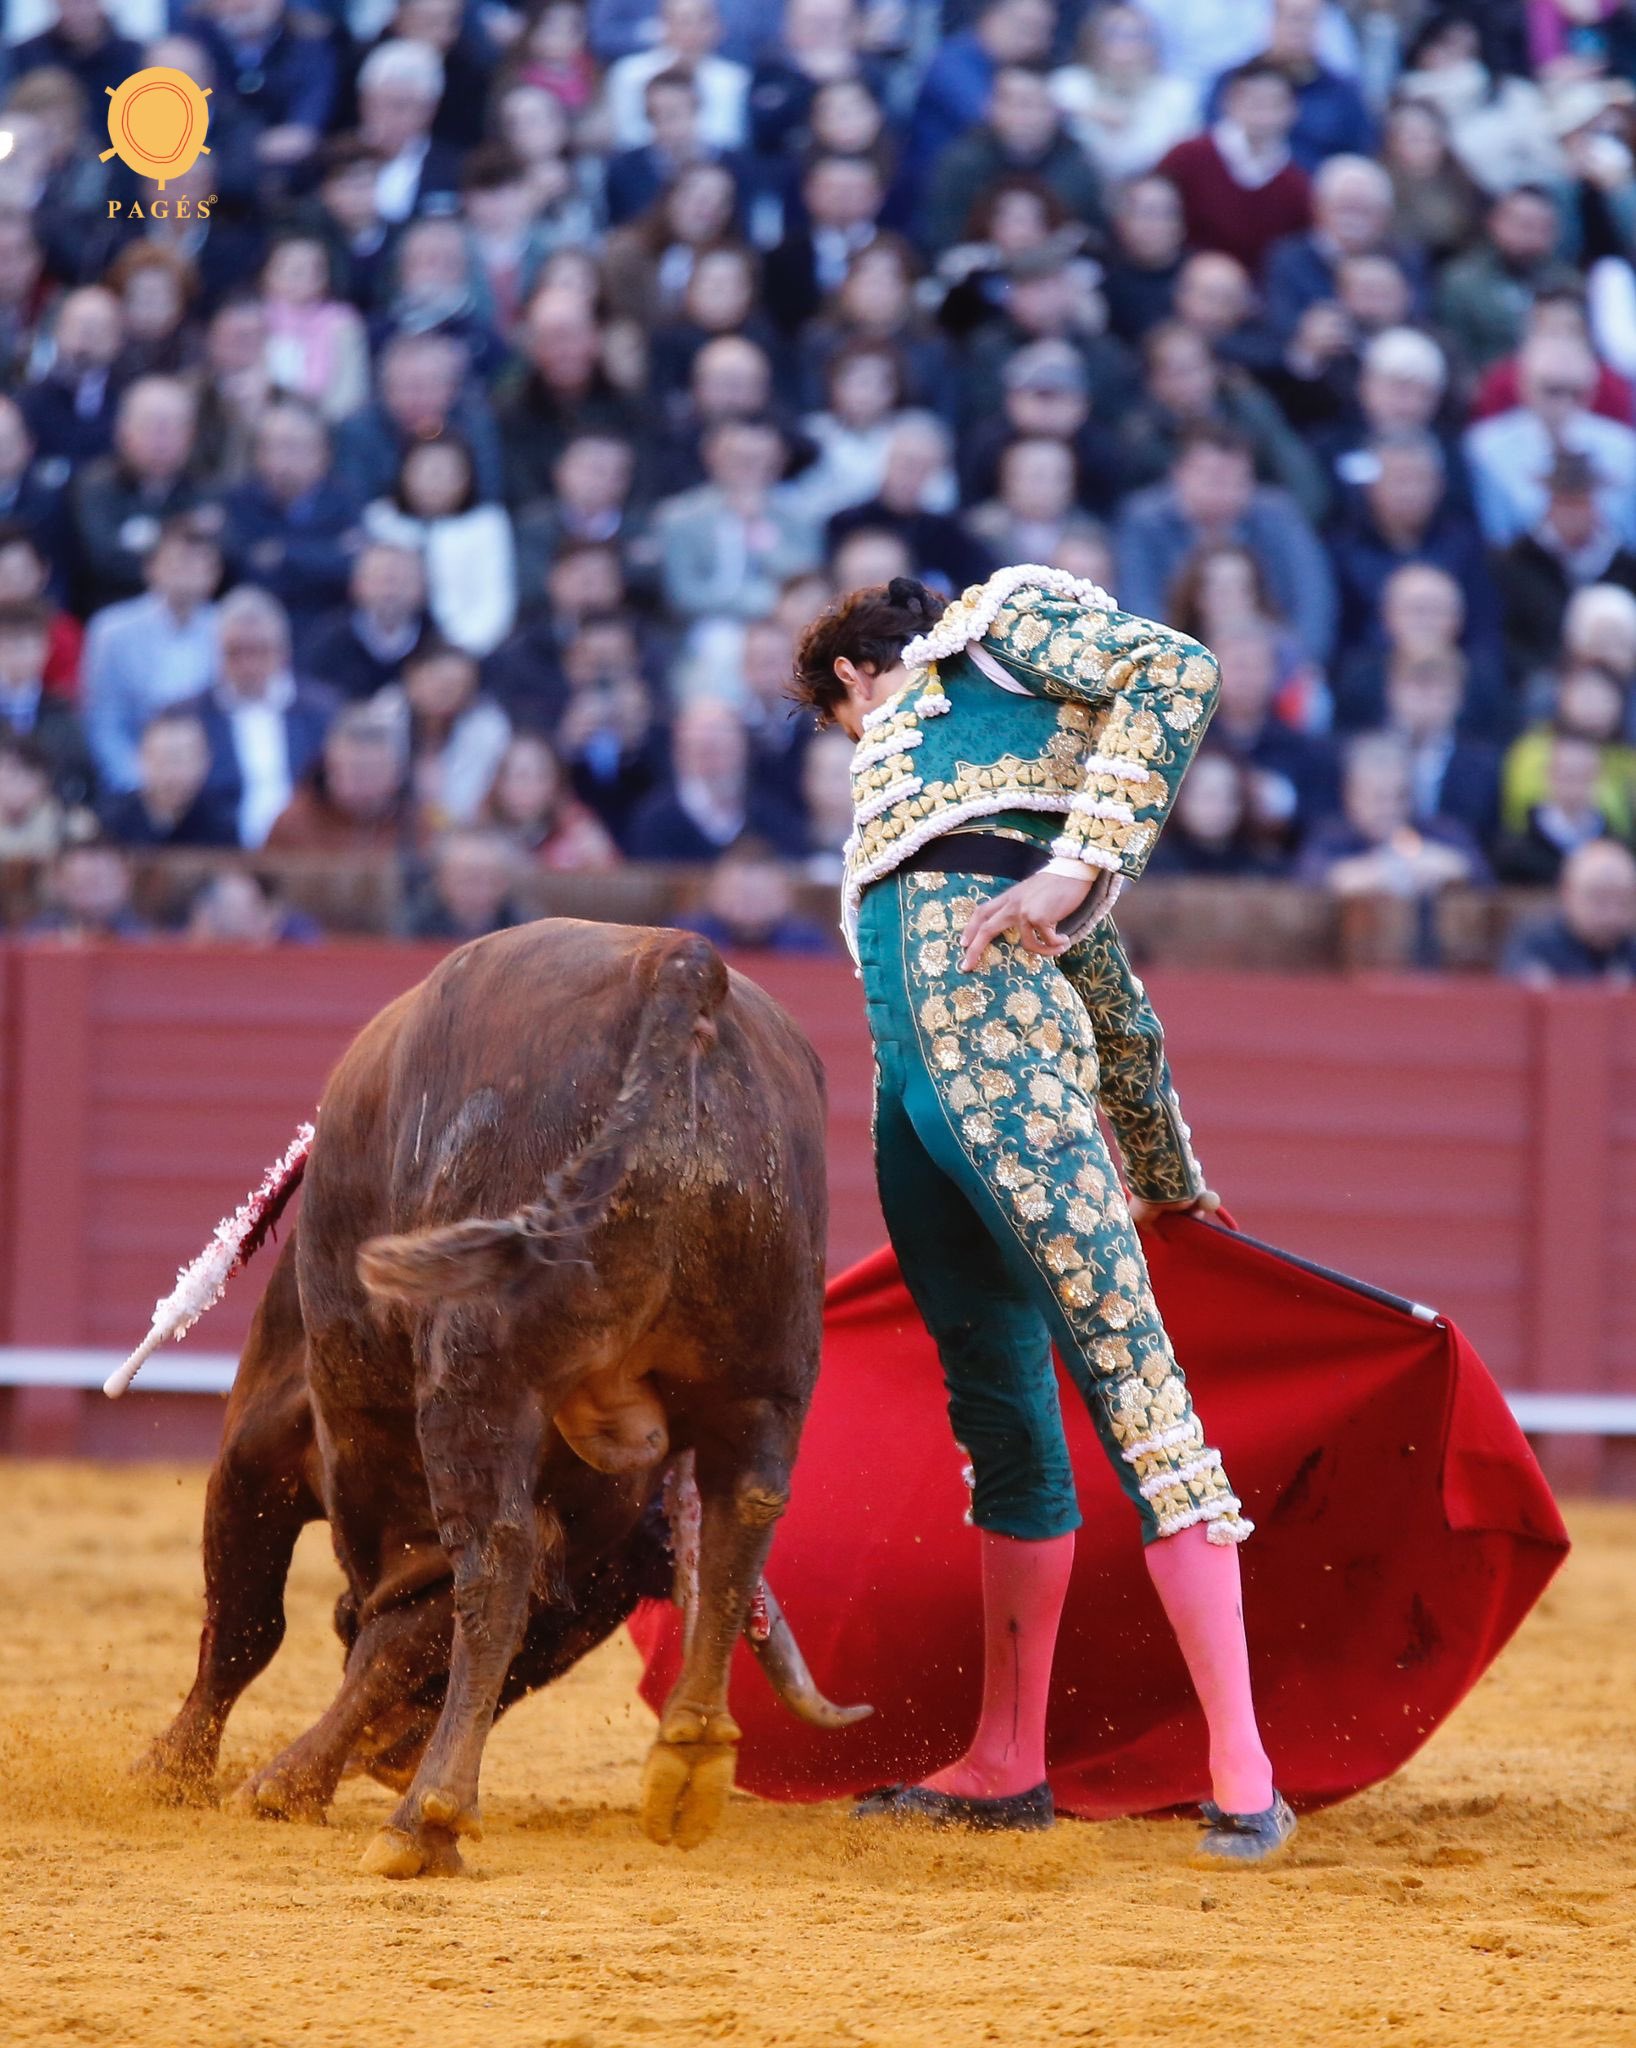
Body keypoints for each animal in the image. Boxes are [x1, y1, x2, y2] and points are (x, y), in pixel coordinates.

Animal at [135, 919, 866, 1874]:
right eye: (564, 1644)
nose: (391, 1760)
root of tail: (678, 965)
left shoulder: (261, 1437)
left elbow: (253, 1625)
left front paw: (184, 1775)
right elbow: (392, 1642)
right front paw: (292, 1780)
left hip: (478, 1376)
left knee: (494, 1561)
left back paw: (424, 1818)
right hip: (767, 1372)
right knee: (742, 1511)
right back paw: (690, 1760)